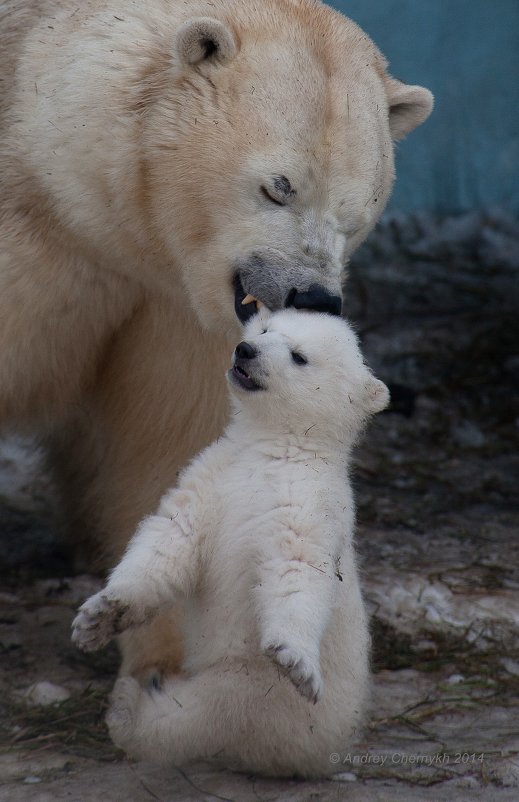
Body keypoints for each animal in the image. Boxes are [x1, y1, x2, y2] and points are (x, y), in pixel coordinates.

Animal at [0, 0, 430, 676]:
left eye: (357, 211)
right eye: (279, 186)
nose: (315, 296)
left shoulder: (176, 311)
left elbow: (171, 447)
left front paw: (165, 660)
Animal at [73, 308, 390, 776]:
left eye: (299, 356)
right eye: (266, 329)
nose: (246, 350)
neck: (274, 446)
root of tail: (328, 750)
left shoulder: (306, 503)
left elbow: (298, 569)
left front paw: (296, 660)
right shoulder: (213, 479)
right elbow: (170, 539)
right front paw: (101, 615)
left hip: (262, 695)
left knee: (201, 714)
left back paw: (130, 707)